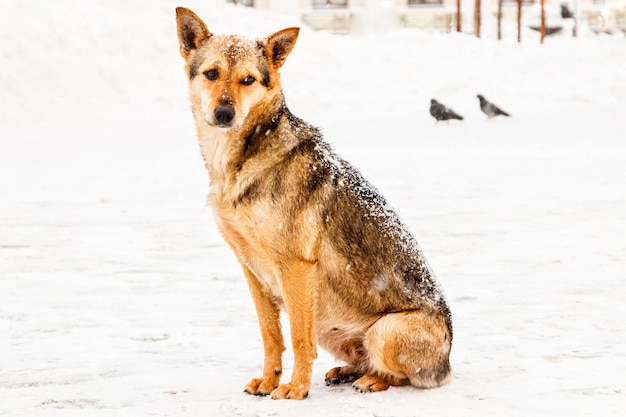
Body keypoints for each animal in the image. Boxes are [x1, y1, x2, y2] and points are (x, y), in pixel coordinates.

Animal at [173, 8, 450, 400]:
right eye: (212, 73)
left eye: (248, 80)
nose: (224, 113)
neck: (243, 156)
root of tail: (448, 362)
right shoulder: (251, 269)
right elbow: (270, 336)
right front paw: (269, 380)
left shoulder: (296, 266)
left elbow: (298, 338)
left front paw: (296, 388)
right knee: (360, 359)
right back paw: (347, 371)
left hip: (384, 332)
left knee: (403, 376)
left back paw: (373, 379)